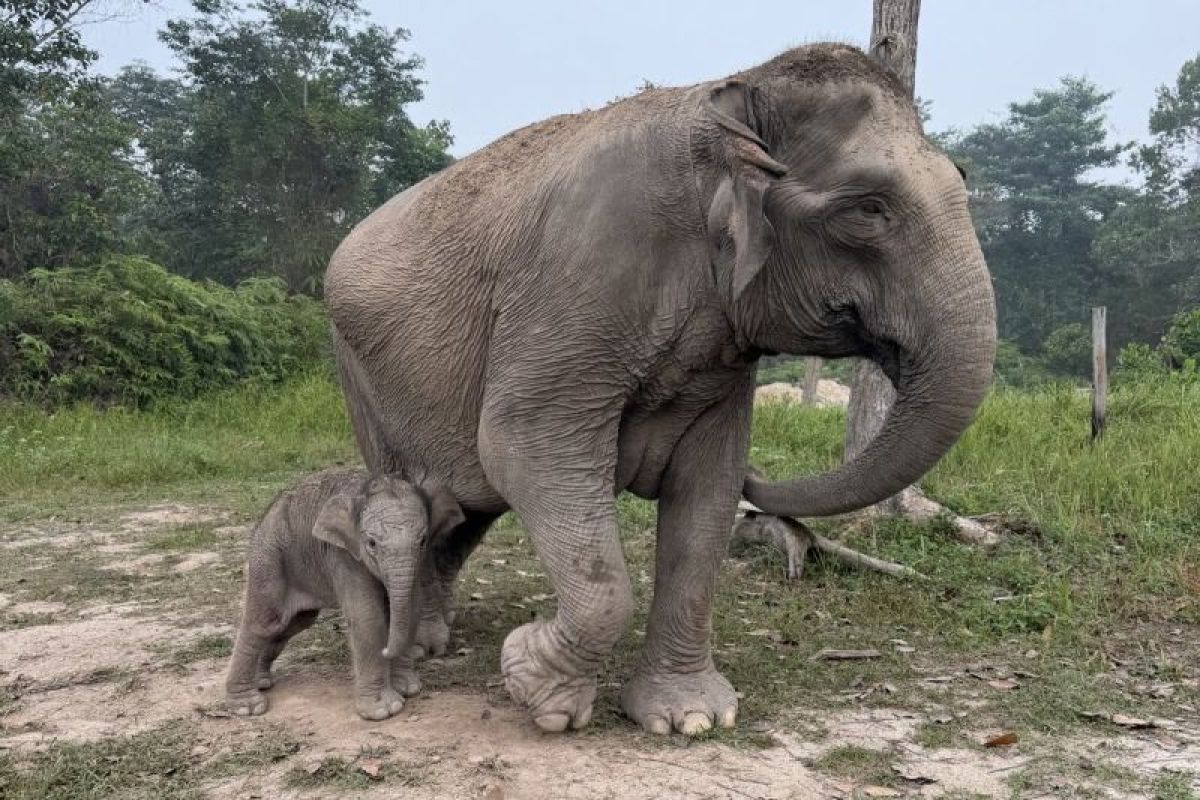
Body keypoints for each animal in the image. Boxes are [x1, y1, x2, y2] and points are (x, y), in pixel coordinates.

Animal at [224, 468, 463, 720]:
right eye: (371, 543)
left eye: (423, 541)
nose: (387, 650)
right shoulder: (344, 555)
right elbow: (368, 617)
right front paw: (384, 709)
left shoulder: (417, 561)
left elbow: (413, 607)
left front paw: (407, 688)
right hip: (269, 555)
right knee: (266, 621)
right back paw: (248, 706)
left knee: (294, 623)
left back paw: (262, 682)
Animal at [324, 43, 996, 735]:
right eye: (869, 209)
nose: (765, 478)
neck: (721, 105)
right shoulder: (574, 285)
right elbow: (522, 448)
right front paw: (536, 686)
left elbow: (709, 486)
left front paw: (688, 718)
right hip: (358, 375)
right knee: (426, 495)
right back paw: (424, 645)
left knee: (466, 508)